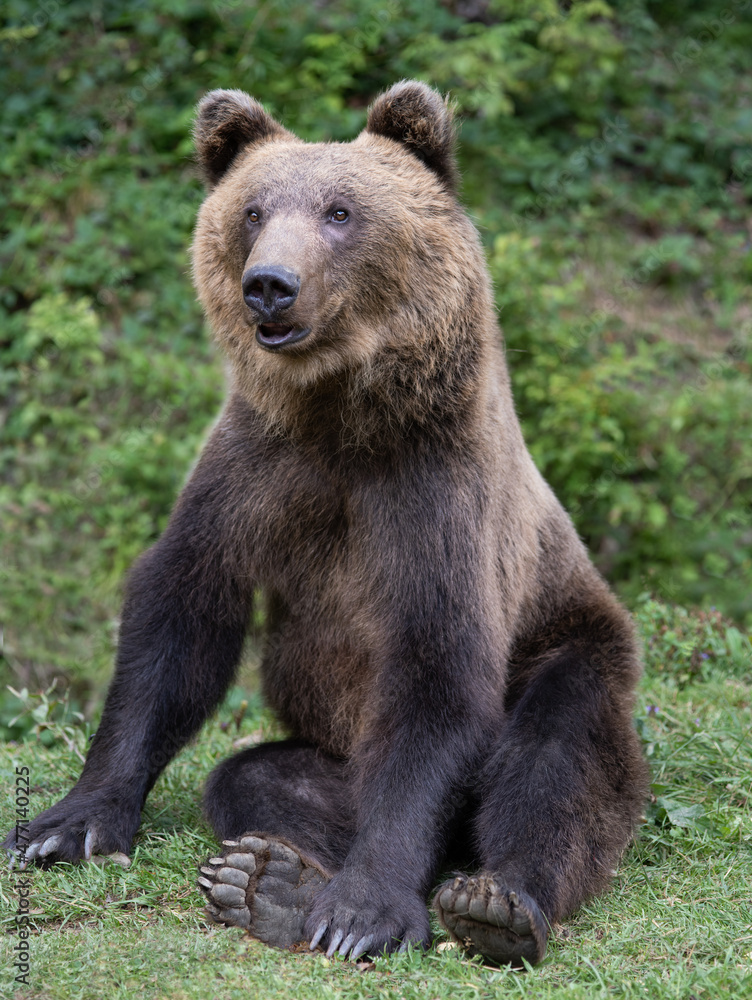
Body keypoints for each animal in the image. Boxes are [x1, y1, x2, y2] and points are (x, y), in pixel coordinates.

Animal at [5, 81, 648, 967]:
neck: (340, 414)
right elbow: (178, 620)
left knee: (558, 757)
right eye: (252, 210)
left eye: (341, 211)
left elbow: (439, 673)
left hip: (573, 638)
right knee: (258, 780)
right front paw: (66, 825)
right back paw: (271, 881)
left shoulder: (433, 494)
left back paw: (495, 902)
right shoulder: (255, 471)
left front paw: (362, 912)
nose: (270, 284)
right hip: (336, 756)